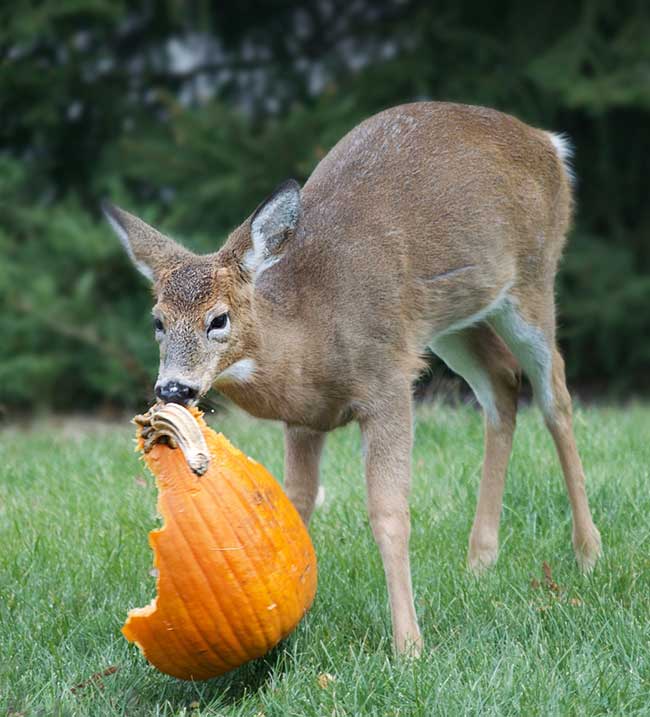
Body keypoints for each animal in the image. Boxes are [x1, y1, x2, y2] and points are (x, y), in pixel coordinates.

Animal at [104, 99, 600, 656]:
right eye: (157, 321)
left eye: (219, 319)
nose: (174, 388)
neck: (310, 335)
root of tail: (549, 143)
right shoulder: (303, 420)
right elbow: (295, 508)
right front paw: (290, 622)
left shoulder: (387, 383)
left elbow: (389, 512)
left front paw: (408, 645)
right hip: (453, 316)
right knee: (501, 384)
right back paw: (480, 561)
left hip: (533, 278)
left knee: (555, 390)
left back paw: (587, 553)